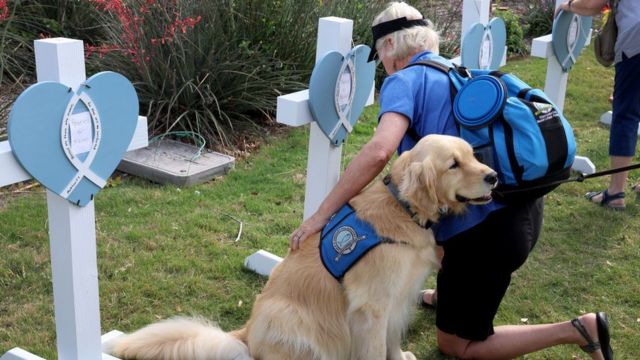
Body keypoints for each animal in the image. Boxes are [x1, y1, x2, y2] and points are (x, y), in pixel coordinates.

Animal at [106, 134, 496, 360]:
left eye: (473, 155)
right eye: (453, 164)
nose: (493, 176)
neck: (404, 208)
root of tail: (246, 333)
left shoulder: (398, 299)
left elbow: (392, 341)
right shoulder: (371, 307)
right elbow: (374, 349)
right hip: (293, 317)